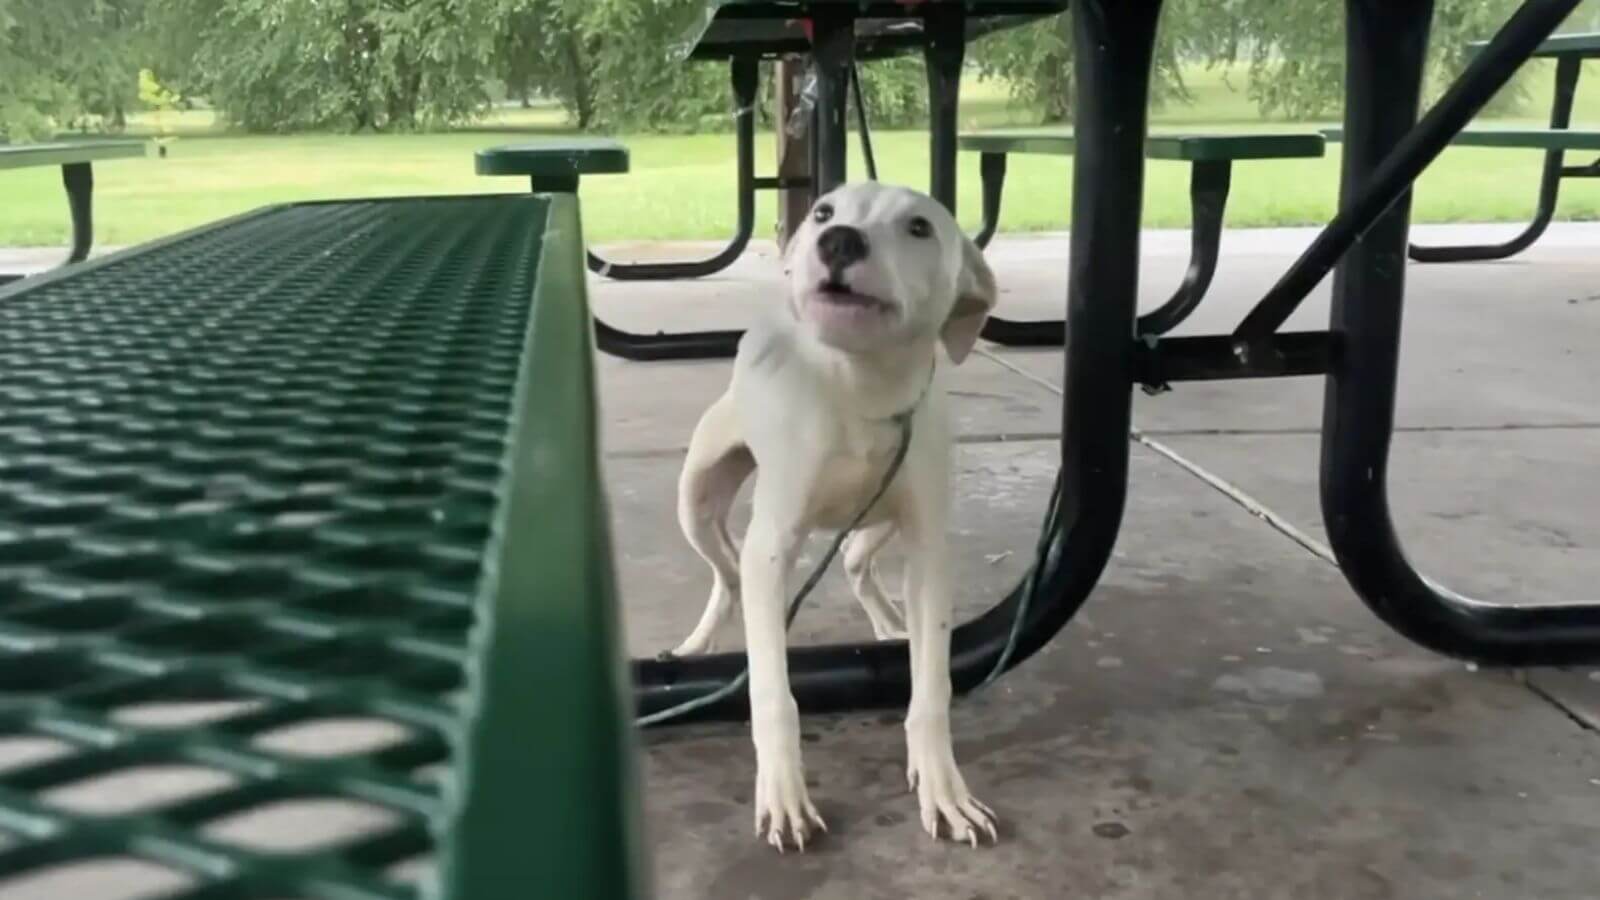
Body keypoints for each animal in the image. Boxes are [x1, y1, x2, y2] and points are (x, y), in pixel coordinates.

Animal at [668, 180, 992, 845]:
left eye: (919, 226)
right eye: (823, 211)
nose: (838, 241)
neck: (859, 390)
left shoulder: (928, 547)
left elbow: (932, 688)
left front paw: (943, 788)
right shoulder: (772, 546)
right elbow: (774, 693)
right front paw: (784, 795)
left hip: (877, 520)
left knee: (852, 561)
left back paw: (891, 623)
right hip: (696, 499)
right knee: (729, 575)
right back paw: (698, 644)